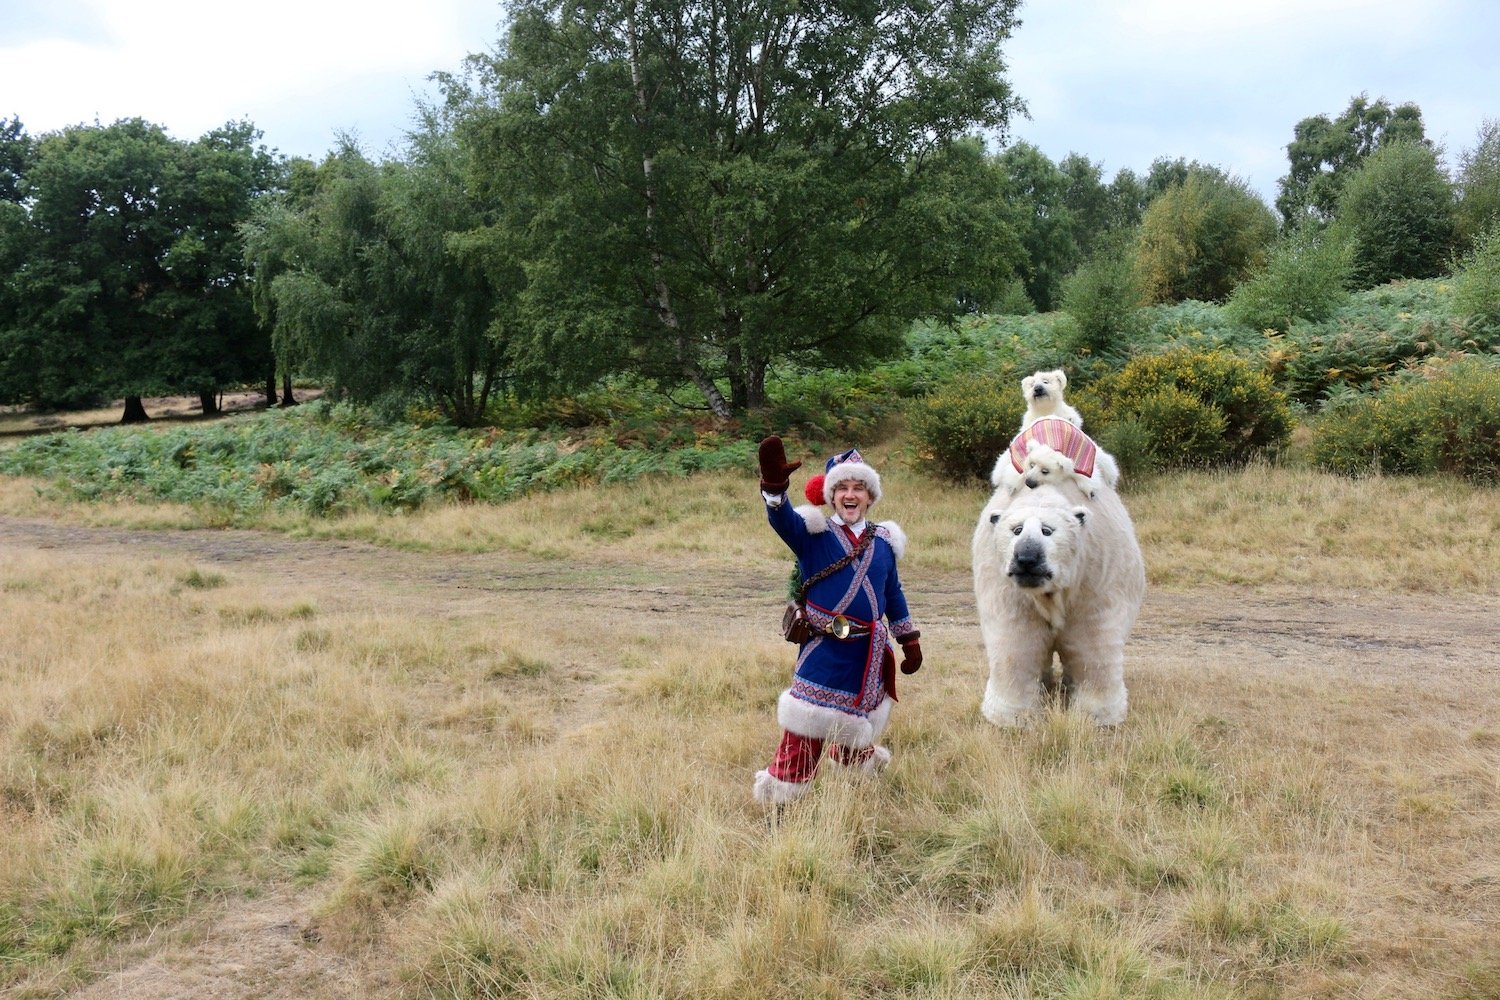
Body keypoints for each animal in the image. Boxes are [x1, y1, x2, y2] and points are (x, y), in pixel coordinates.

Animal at [971, 479, 1146, 727]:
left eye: (1047, 530)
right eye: (1017, 529)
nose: (1026, 558)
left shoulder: (1094, 572)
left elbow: (1090, 640)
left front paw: (1098, 715)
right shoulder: (1006, 586)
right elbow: (1018, 640)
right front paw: (1011, 716)